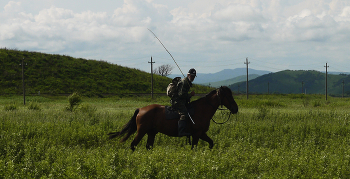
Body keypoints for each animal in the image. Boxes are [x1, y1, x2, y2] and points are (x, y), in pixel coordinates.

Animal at [108, 86, 239, 150]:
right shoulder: (196, 134)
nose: (235, 108)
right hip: (141, 131)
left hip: (151, 132)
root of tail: (140, 109)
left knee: (148, 146)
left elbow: (211, 143)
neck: (202, 109)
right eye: (228, 95)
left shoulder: (201, 133)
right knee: (133, 145)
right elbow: (194, 148)